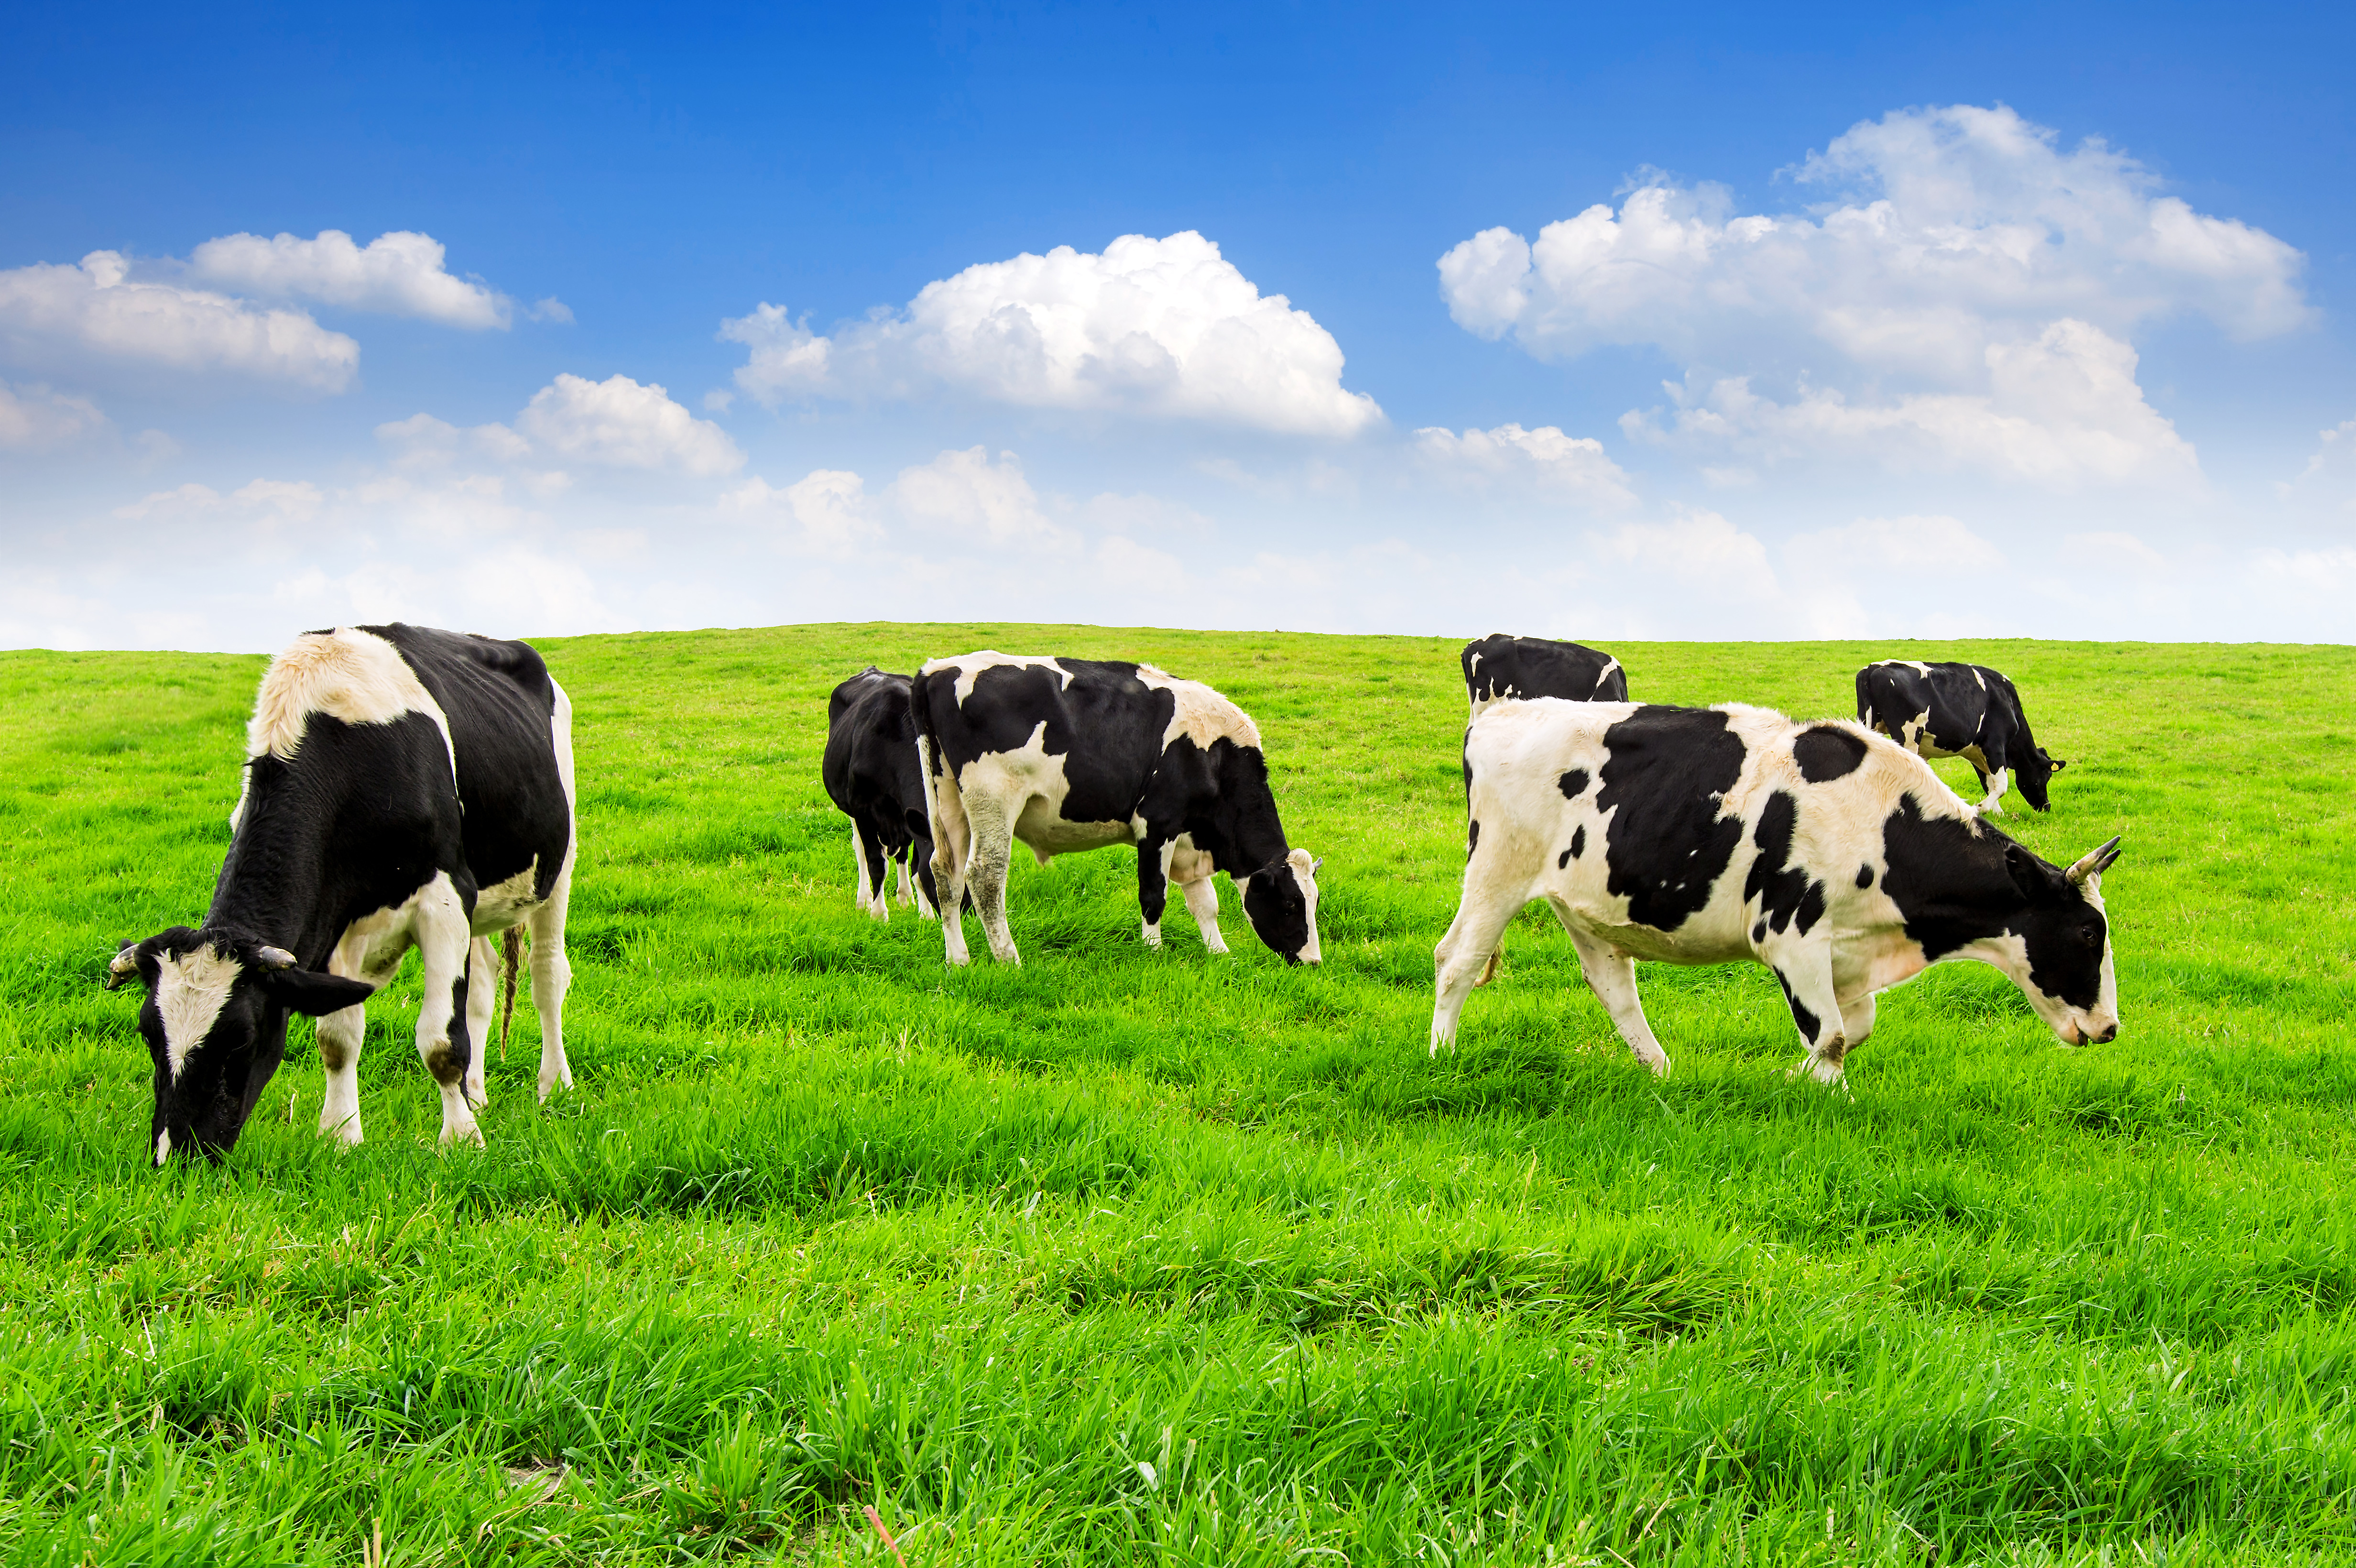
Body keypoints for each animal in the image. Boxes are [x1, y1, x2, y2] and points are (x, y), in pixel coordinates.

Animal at [104, 624, 577, 1164]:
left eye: (241, 1039)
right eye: (147, 1032)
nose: (174, 1154)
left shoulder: (444, 895)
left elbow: (440, 1041)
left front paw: (460, 1140)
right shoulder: (335, 920)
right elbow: (336, 1037)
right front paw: (339, 1136)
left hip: (559, 861)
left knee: (546, 974)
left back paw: (553, 1086)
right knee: (482, 981)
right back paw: (476, 1094)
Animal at [823, 666, 943, 920]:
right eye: (938, 873)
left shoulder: (913, 817)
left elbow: (916, 865)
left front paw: (925, 913)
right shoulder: (863, 811)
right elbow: (876, 863)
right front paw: (879, 914)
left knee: (901, 853)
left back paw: (905, 897)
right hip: (851, 809)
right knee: (860, 849)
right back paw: (864, 900)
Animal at [910, 652, 1322, 967]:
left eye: (1315, 901)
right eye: (1290, 903)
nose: (1313, 962)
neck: (1216, 756)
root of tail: (936, 670)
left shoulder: (1189, 837)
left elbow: (1206, 903)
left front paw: (1219, 952)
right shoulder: (1157, 824)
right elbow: (1154, 894)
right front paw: (1154, 951)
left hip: (947, 796)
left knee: (944, 873)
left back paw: (958, 959)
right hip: (993, 799)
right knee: (985, 876)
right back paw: (1009, 960)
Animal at [1433, 698, 2122, 1084]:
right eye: (2087, 932)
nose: (2111, 1028)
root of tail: (1498, 714)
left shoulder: (1847, 954)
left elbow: (1853, 1029)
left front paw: (1791, 1076)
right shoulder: (1790, 935)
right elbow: (1834, 1036)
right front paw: (1825, 1095)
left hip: (1589, 903)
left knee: (1614, 988)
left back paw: (1661, 1073)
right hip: (1497, 870)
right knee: (1457, 960)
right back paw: (1443, 1057)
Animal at [1856, 660, 2065, 815]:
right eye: (2046, 776)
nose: (2046, 807)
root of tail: (1874, 668)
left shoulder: (1977, 752)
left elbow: (1989, 783)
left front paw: (1996, 814)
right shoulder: (1995, 745)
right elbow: (2001, 785)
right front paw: (1980, 809)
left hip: (1868, 723)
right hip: (1908, 734)